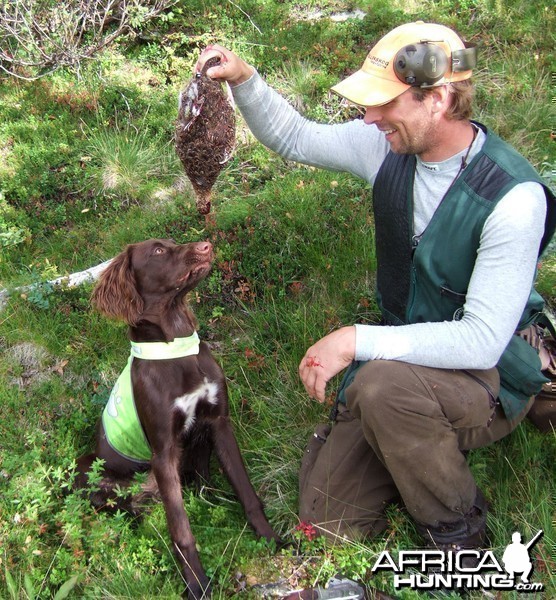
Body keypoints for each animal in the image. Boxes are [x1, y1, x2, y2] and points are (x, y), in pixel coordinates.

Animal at [76, 239, 280, 600]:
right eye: (158, 252)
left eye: (171, 244)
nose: (206, 244)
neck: (175, 348)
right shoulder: (163, 452)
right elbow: (182, 531)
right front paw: (197, 584)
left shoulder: (219, 422)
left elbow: (246, 492)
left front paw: (270, 540)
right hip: (87, 466)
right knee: (119, 503)